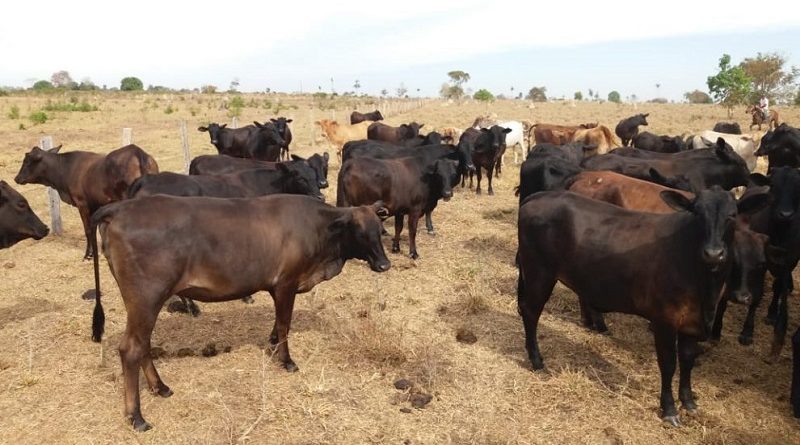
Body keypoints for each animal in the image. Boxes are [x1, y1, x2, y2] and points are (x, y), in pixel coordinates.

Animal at [14, 144, 158, 260]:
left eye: (27, 161)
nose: (16, 178)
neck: (64, 169)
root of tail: (136, 152)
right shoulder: (95, 205)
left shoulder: (82, 204)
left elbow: (88, 229)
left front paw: (88, 254)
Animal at [89, 194, 390, 431]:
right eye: (359, 231)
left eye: (380, 230)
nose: (385, 265)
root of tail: (119, 208)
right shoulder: (286, 283)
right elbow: (285, 324)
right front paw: (287, 361)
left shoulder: (279, 287)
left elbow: (277, 324)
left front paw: (272, 344)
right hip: (147, 298)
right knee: (131, 349)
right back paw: (137, 417)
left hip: (144, 305)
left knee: (143, 345)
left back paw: (160, 387)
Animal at [517, 188, 768, 425]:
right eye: (697, 213)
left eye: (732, 215)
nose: (713, 253)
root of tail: (541, 195)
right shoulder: (664, 320)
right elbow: (668, 364)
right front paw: (669, 410)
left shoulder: (692, 322)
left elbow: (688, 360)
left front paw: (688, 402)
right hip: (539, 273)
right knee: (530, 312)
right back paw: (537, 360)